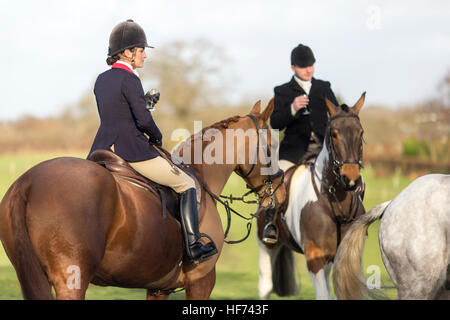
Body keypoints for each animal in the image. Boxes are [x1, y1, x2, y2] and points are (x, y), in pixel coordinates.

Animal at [0, 100, 284, 300]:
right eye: (272, 146)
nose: (280, 192)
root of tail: (28, 182)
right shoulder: (201, 281)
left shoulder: (159, 288)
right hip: (72, 281)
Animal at [255, 93, 368, 300]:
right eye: (334, 134)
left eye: (360, 133)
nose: (351, 178)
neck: (336, 204)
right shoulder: (314, 256)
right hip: (266, 246)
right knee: (265, 284)